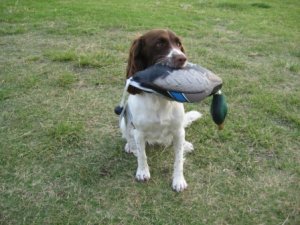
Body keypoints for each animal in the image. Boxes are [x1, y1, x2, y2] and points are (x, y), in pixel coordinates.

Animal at [119, 29, 202, 192]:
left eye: (178, 44)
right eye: (159, 44)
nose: (183, 58)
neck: (159, 97)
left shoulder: (178, 130)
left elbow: (178, 159)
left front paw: (178, 180)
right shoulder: (139, 132)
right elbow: (142, 155)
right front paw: (142, 172)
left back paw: (186, 144)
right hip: (123, 121)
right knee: (129, 137)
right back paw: (130, 146)